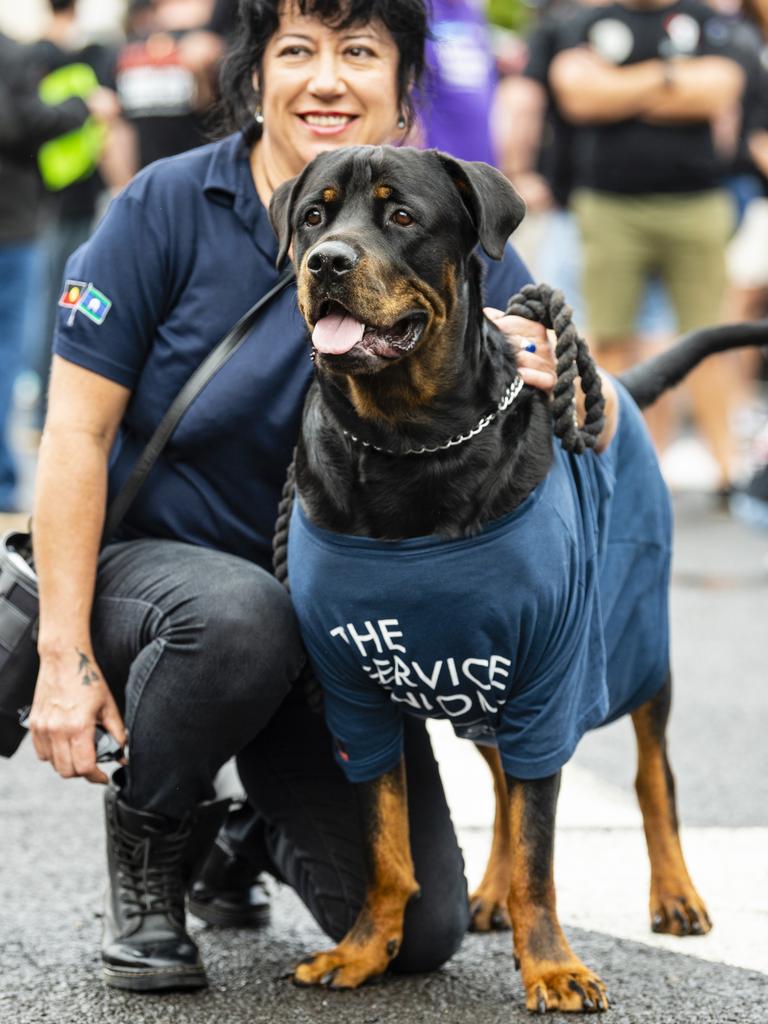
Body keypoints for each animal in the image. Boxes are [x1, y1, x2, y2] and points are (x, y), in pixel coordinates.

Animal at [268, 146, 765, 1015]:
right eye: (314, 216)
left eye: (402, 216)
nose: (326, 261)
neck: (408, 442)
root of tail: (621, 388)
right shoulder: (353, 689)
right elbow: (387, 844)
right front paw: (364, 949)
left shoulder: (551, 666)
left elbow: (542, 848)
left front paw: (552, 967)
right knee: (504, 780)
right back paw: (492, 893)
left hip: (635, 648)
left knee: (651, 775)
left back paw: (674, 894)